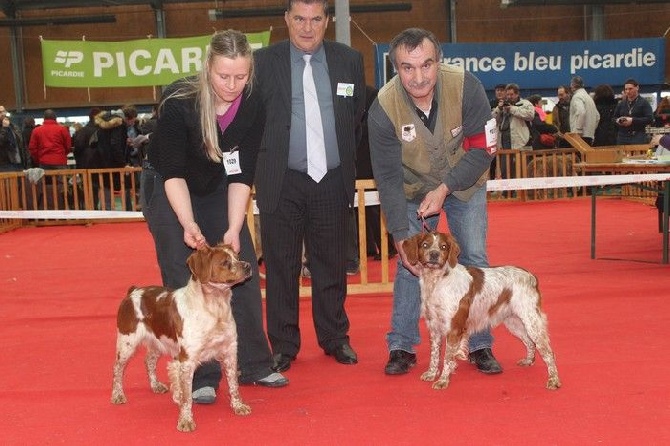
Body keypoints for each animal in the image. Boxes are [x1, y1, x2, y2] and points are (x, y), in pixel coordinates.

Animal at [111, 244, 253, 432]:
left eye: (237, 256)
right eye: (225, 262)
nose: (248, 266)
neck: (215, 308)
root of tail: (133, 291)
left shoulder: (230, 350)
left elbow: (234, 385)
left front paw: (238, 406)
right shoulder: (187, 359)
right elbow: (187, 398)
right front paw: (185, 421)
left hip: (158, 341)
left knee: (148, 361)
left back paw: (155, 386)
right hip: (127, 343)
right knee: (117, 369)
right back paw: (117, 395)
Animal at [404, 232, 560, 392]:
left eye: (443, 247)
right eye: (425, 245)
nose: (434, 255)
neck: (437, 281)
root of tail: (531, 277)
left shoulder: (454, 328)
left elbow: (447, 358)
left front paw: (443, 380)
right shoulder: (434, 327)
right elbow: (434, 355)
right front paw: (431, 373)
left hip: (531, 322)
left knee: (549, 352)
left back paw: (553, 380)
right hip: (515, 322)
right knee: (530, 343)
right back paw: (528, 361)